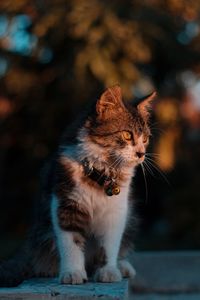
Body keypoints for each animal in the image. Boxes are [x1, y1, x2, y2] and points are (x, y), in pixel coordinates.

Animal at [0, 84, 156, 286]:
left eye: (145, 139)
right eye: (127, 135)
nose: (141, 153)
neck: (100, 173)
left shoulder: (117, 213)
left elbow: (110, 245)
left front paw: (108, 271)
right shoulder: (65, 205)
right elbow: (71, 243)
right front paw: (72, 273)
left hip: (131, 219)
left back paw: (122, 266)